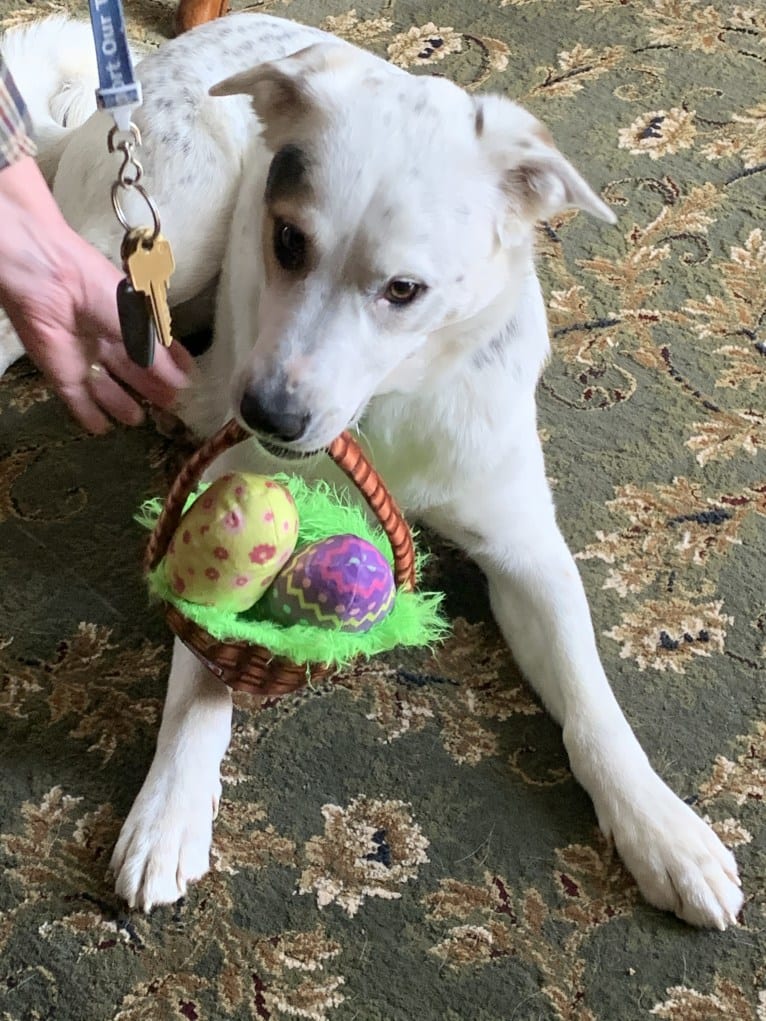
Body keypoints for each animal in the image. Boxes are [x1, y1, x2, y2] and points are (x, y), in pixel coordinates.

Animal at [0, 13, 743, 927]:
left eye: (404, 289)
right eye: (286, 240)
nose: (268, 414)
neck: (387, 404)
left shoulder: (529, 554)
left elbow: (592, 702)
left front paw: (662, 828)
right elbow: (200, 667)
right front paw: (169, 804)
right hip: (166, 222)